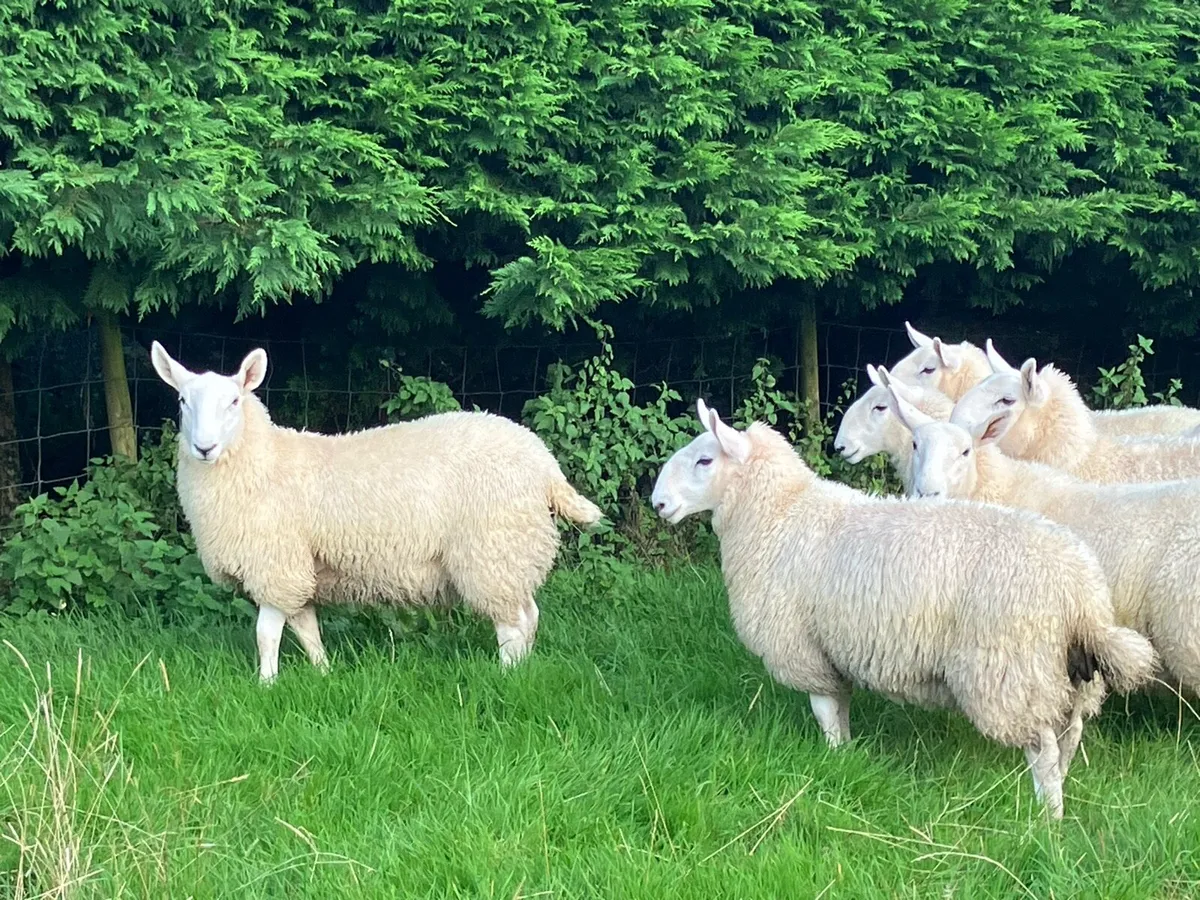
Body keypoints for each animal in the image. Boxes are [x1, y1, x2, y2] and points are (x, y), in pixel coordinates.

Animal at [150, 341, 603, 681]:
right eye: (182, 400)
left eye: (233, 401)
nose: (204, 448)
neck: (263, 461)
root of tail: (545, 464)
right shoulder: (300, 570)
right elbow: (307, 629)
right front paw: (323, 671)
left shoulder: (276, 564)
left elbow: (266, 634)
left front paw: (266, 683)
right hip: (512, 553)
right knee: (530, 615)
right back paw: (525, 668)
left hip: (493, 551)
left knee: (512, 624)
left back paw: (506, 674)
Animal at [650, 398, 1156, 818]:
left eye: (705, 459)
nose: (658, 503)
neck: (779, 516)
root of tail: (1080, 596)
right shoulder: (834, 650)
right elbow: (842, 710)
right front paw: (845, 758)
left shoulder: (804, 649)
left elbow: (825, 713)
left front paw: (831, 756)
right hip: (1069, 674)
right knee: (1069, 739)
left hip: (1009, 672)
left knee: (1045, 750)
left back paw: (1047, 818)